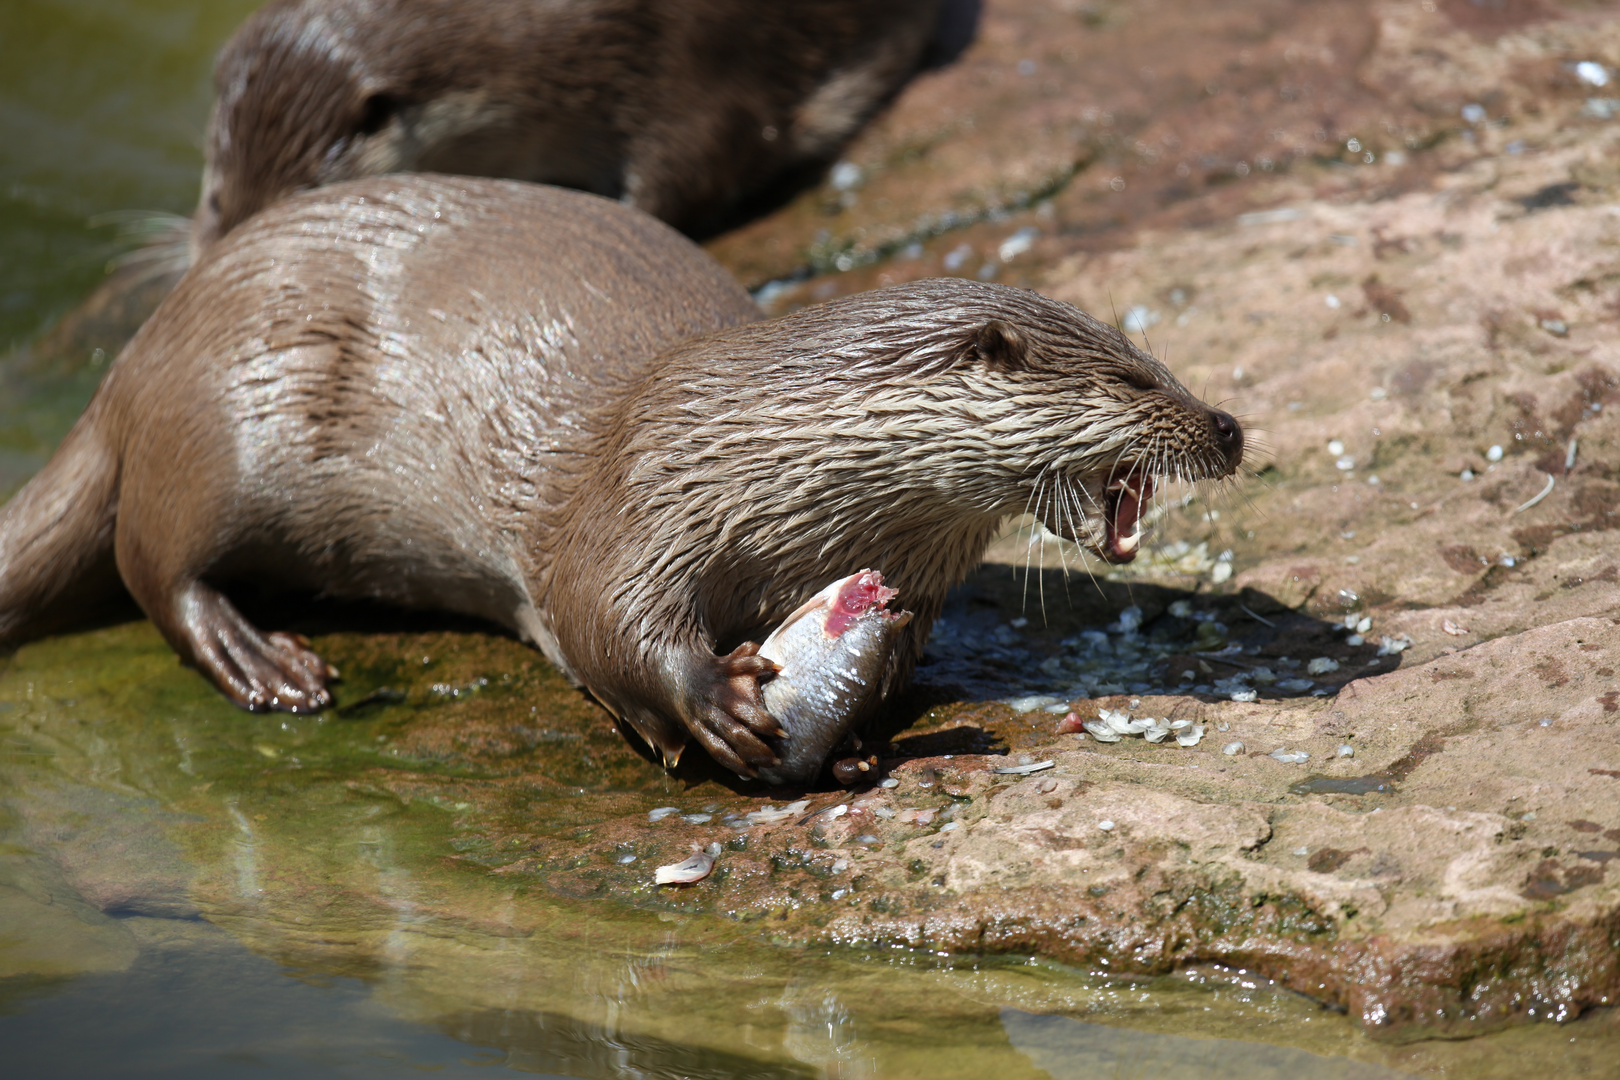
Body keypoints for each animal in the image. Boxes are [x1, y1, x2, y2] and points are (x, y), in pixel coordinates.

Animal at [0, 175, 1244, 777]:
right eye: (1135, 375)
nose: (1227, 427)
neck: (764, 456)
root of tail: (143, 349)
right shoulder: (638, 496)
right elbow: (602, 616)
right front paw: (715, 707)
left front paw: (851, 731)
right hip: (222, 421)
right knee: (156, 562)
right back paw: (263, 663)